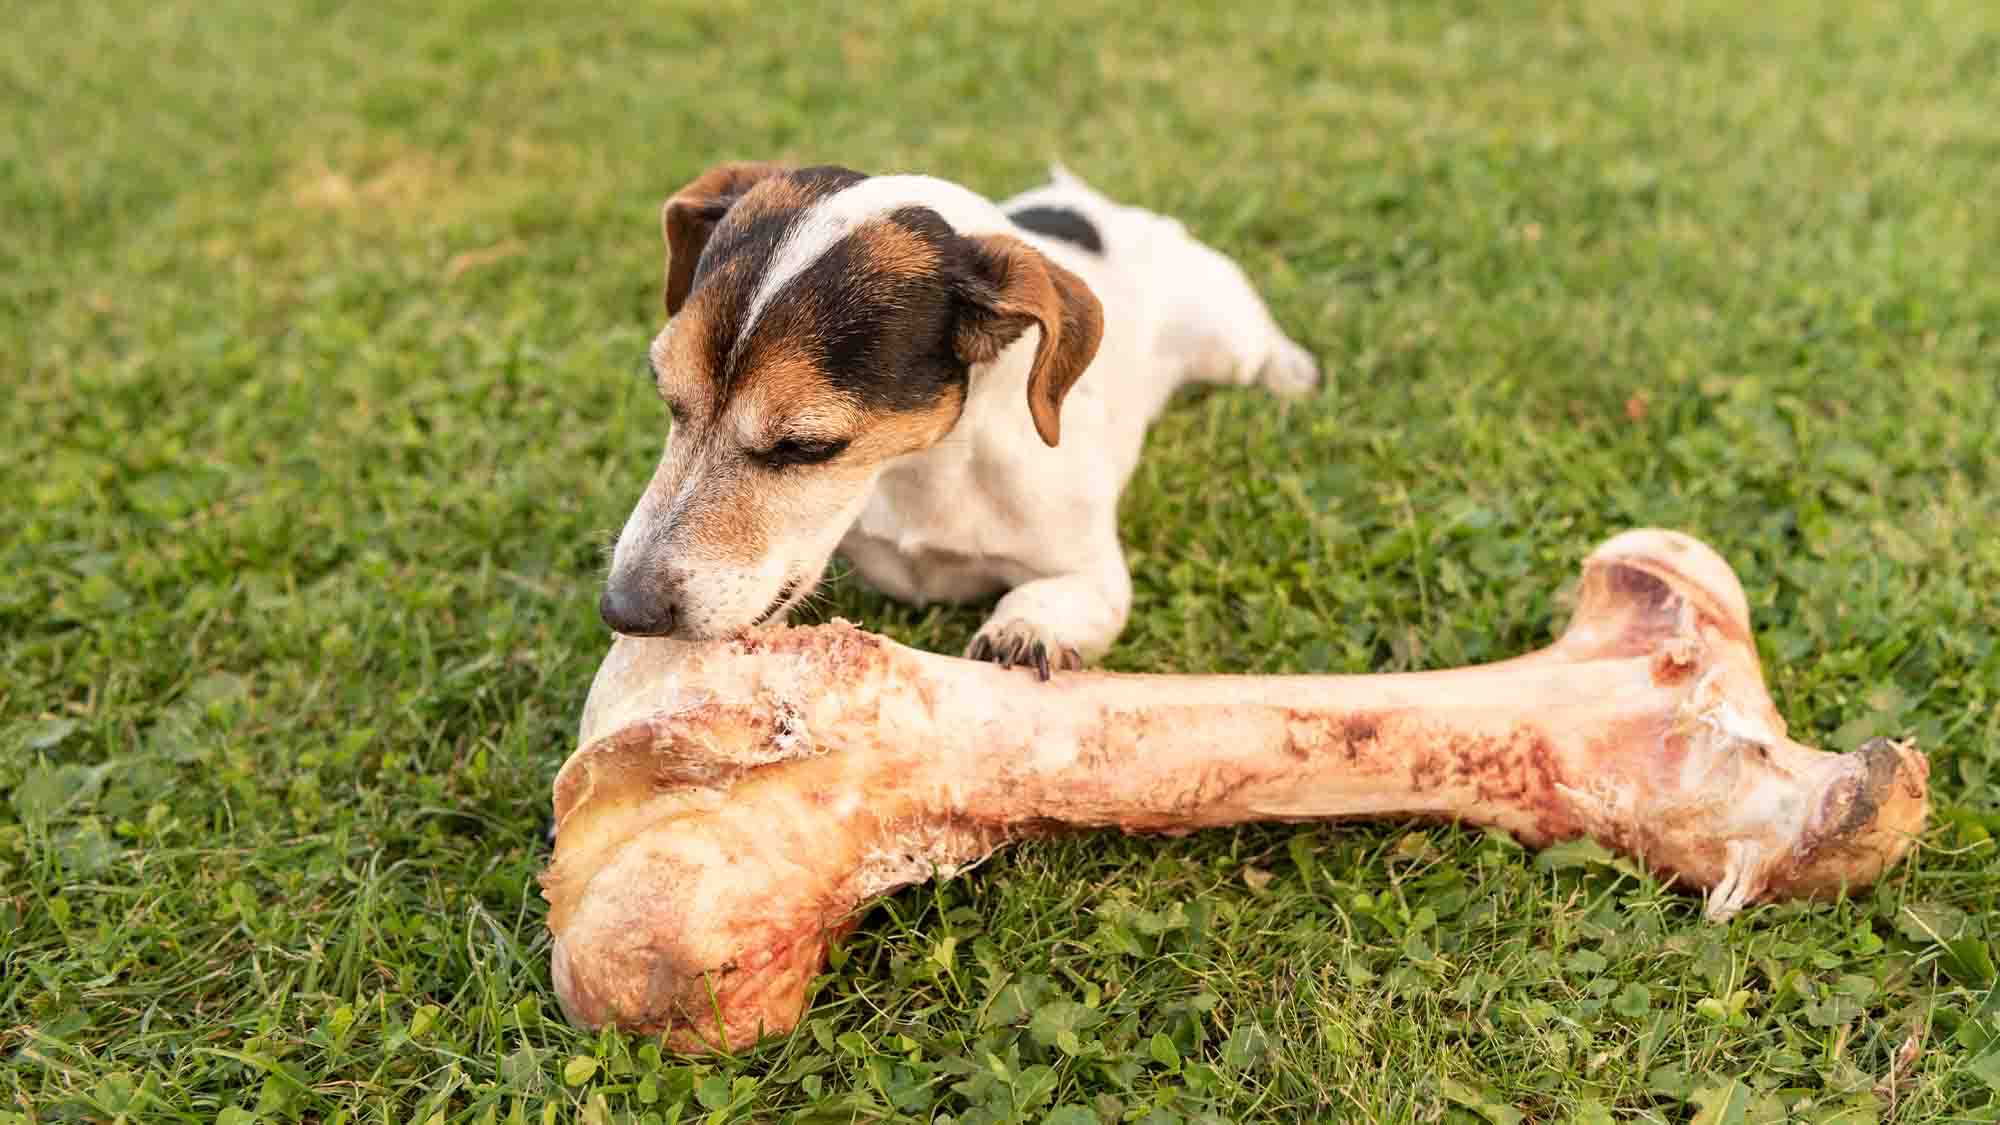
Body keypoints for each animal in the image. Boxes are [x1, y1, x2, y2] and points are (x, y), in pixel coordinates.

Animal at [600, 160, 1320, 672]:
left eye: (806, 447)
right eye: (668, 397)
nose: (622, 608)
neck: (920, 471)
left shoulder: (1095, 575)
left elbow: (1049, 596)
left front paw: (1024, 630)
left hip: (1228, 340)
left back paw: (1294, 377)